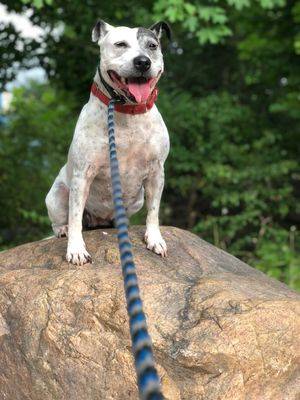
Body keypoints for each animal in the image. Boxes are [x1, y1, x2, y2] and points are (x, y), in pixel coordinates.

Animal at [44, 21, 171, 266]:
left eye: (152, 46)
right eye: (120, 44)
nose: (143, 62)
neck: (128, 111)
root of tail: (99, 221)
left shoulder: (156, 172)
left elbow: (154, 210)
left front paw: (154, 239)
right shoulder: (83, 175)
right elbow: (75, 217)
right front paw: (76, 249)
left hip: (136, 199)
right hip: (57, 195)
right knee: (63, 220)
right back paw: (63, 230)